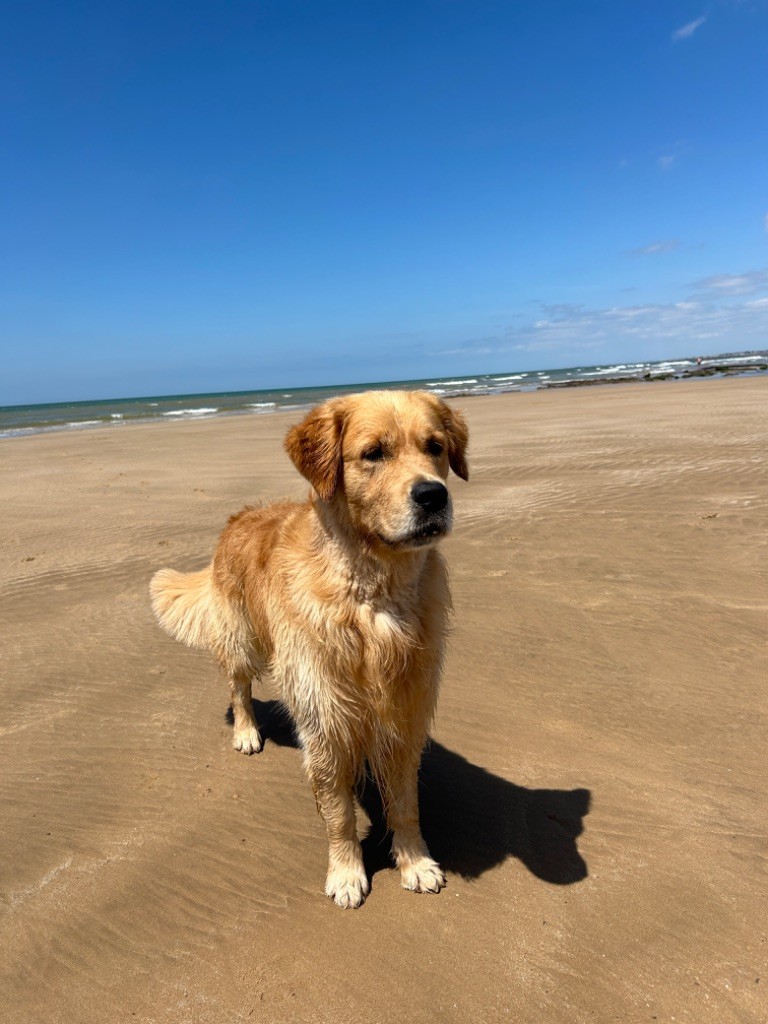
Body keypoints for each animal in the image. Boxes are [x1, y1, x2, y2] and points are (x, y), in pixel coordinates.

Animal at [147, 387, 466, 909]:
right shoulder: (326, 722)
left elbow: (404, 803)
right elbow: (338, 813)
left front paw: (415, 861)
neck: (372, 594)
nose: (433, 495)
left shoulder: (405, 711)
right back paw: (246, 732)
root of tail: (239, 515)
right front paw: (347, 873)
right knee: (238, 688)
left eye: (435, 446)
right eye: (373, 453)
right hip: (243, 639)